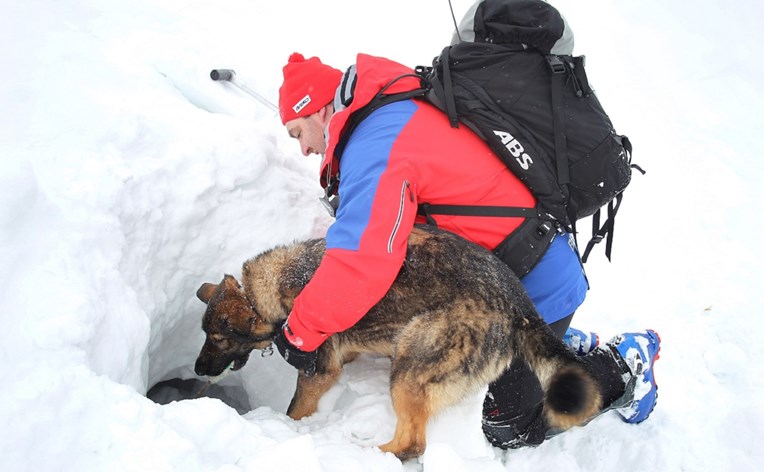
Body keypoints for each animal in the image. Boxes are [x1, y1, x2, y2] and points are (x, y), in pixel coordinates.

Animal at [197, 227, 604, 460]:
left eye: (218, 338)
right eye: (204, 335)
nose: (198, 369)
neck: (268, 290)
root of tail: (519, 307)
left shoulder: (318, 371)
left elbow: (295, 410)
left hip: (409, 366)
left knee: (413, 443)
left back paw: (368, 455)